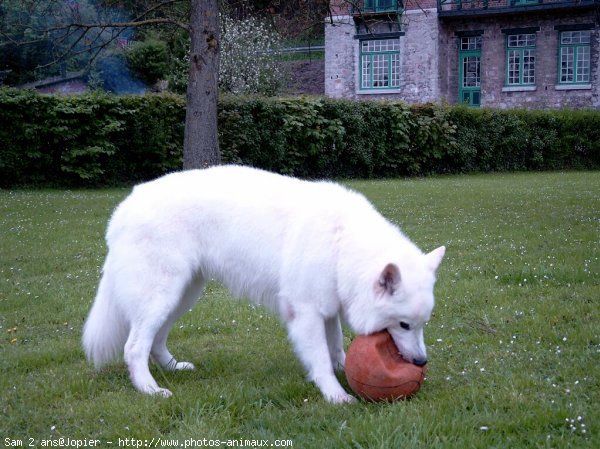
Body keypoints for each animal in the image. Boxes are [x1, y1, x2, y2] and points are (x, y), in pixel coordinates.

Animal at [82, 165, 442, 402]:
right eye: (404, 325)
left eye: (424, 324)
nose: (421, 363)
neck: (342, 242)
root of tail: (123, 208)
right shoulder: (305, 313)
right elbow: (320, 359)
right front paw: (336, 394)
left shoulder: (327, 307)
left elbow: (336, 344)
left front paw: (344, 369)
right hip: (163, 295)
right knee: (134, 347)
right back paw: (150, 389)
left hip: (182, 295)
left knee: (155, 339)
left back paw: (172, 367)